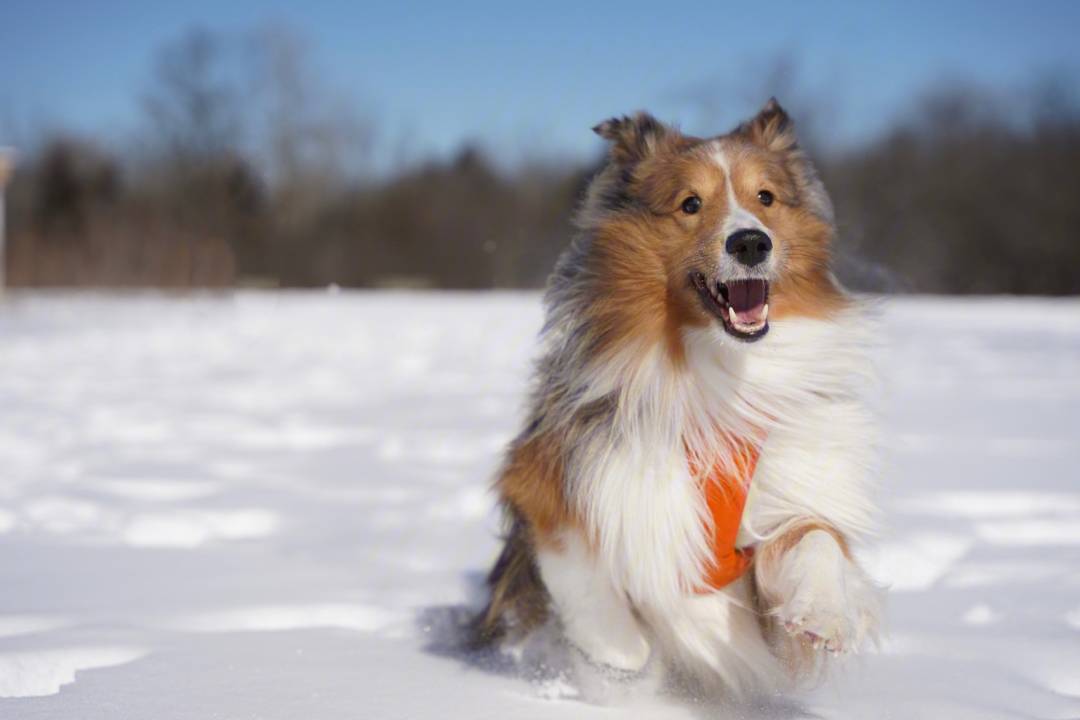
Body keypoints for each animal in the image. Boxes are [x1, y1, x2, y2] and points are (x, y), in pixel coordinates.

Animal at [473, 98, 885, 695]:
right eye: (690, 204)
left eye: (766, 197)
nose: (751, 242)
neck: (714, 371)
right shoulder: (554, 478)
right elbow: (590, 579)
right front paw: (621, 663)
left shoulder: (782, 496)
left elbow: (816, 539)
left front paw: (823, 615)